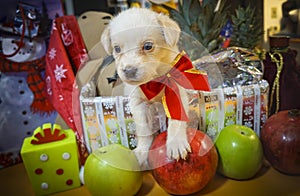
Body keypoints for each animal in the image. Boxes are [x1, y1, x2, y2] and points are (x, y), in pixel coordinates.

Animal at [101, 7, 195, 167]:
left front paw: (176, 143)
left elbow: (176, 122)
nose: (129, 71)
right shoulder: (138, 103)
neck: (154, 80)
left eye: (148, 46)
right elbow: (144, 129)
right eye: (117, 49)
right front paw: (142, 151)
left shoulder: (177, 94)